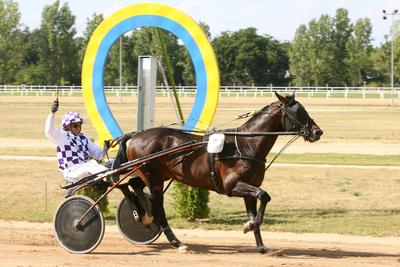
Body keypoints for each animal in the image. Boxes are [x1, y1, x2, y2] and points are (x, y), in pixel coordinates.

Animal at [126, 93, 324, 254]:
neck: (245, 145)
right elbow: (264, 196)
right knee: (158, 208)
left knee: (134, 184)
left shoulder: (250, 188)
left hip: (159, 175)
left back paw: (145, 215)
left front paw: (260, 244)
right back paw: (175, 241)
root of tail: (136, 136)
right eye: (299, 112)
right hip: (154, 178)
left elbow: (256, 208)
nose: (318, 132)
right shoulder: (232, 186)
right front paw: (248, 226)